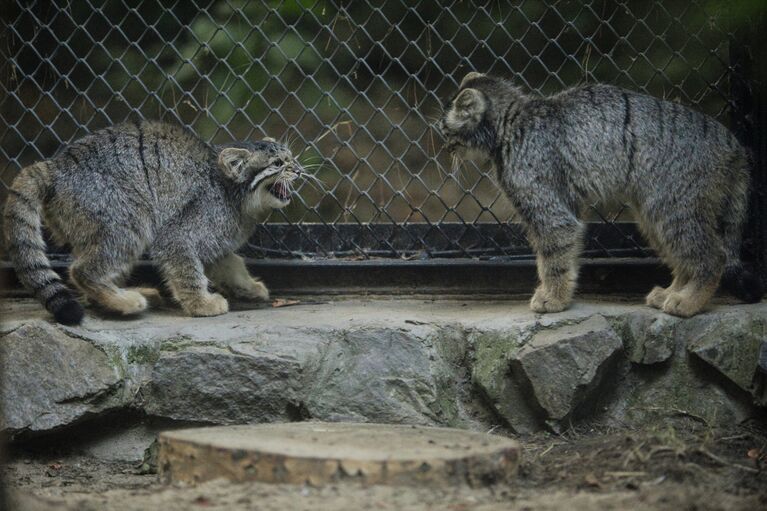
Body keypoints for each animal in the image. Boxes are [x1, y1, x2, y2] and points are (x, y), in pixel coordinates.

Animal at [3, 121, 304, 324]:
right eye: (278, 164)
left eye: (291, 158)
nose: (300, 170)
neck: (232, 193)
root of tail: (56, 166)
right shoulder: (182, 232)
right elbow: (188, 270)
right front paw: (200, 304)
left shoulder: (216, 239)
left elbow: (231, 263)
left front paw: (248, 286)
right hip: (126, 218)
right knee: (82, 270)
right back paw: (125, 300)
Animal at [440, 72, 764, 318]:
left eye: (446, 130)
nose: (444, 148)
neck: (512, 126)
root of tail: (735, 144)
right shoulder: (567, 206)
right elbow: (566, 256)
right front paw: (560, 294)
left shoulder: (550, 211)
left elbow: (552, 259)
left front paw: (553, 298)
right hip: (654, 214)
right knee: (685, 257)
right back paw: (672, 292)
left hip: (673, 208)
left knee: (713, 256)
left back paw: (688, 302)